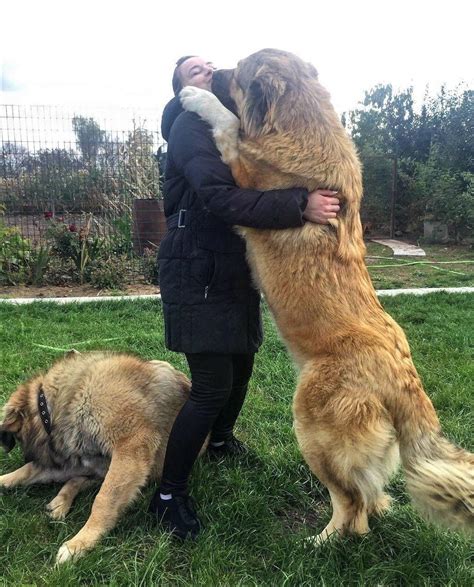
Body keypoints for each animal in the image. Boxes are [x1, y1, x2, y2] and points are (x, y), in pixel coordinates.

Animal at [0, 352, 189, 564]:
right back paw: (60, 502)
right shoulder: (77, 458)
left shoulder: (132, 446)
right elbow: (28, 471)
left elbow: (104, 500)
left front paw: (80, 542)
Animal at [180, 48, 472, 544]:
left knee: (351, 504)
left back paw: (321, 542)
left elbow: (228, 123)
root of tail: (404, 380)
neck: (300, 124)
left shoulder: (243, 173)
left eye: (235, 73)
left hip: (311, 425)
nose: (211, 70)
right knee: (370, 499)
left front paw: (195, 97)